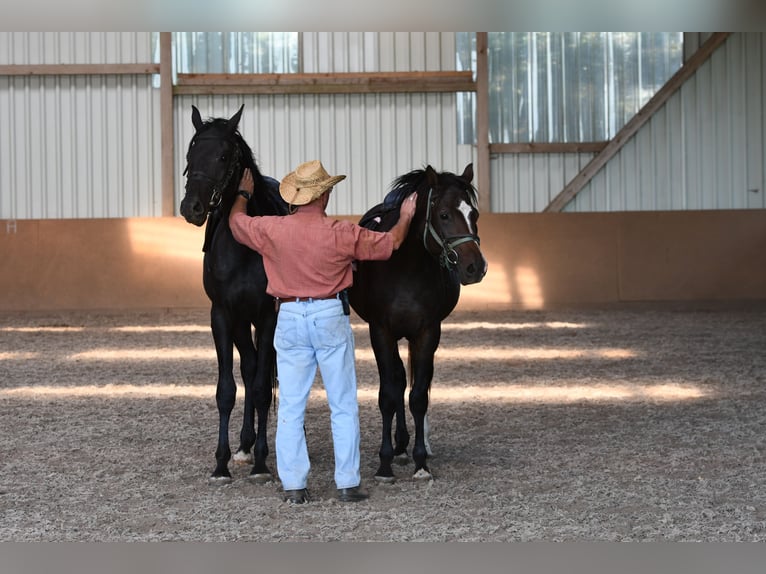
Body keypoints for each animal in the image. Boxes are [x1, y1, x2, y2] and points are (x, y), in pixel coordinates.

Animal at [178, 106, 290, 484]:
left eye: (224, 156)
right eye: (190, 155)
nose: (192, 208)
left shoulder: (268, 317)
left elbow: (261, 390)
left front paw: (261, 464)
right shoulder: (223, 316)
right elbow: (227, 390)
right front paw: (222, 462)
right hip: (242, 323)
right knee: (251, 366)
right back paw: (244, 444)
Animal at [352, 164, 488, 484]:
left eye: (474, 214)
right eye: (444, 214)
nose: (475, 268)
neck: (405, 268)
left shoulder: (427, 333)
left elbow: (418, 397)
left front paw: (421, 462)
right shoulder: (381, 332)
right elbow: (388, 395)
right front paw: (385, 464)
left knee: (416, 384)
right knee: (399, 379)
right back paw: (399, 446)